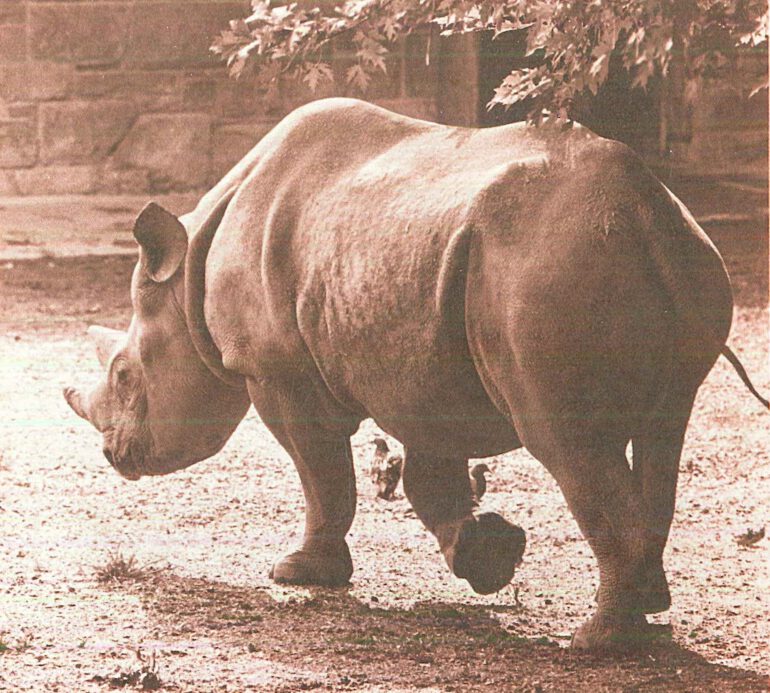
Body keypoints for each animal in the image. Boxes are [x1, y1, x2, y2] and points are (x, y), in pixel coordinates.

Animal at [64, 98, 767, 649]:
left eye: (124, 376)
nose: (112, 456)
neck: (186, 282)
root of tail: (644, 210)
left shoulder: (277, 372)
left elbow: (321, 474)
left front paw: (298, 574)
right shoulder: (421, 362)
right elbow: (430, 468)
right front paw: (488, 557)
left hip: (549, 271)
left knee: (565, 441)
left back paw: (597, 642)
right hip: (665, 260)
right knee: (662, 431)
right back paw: (647, 610)